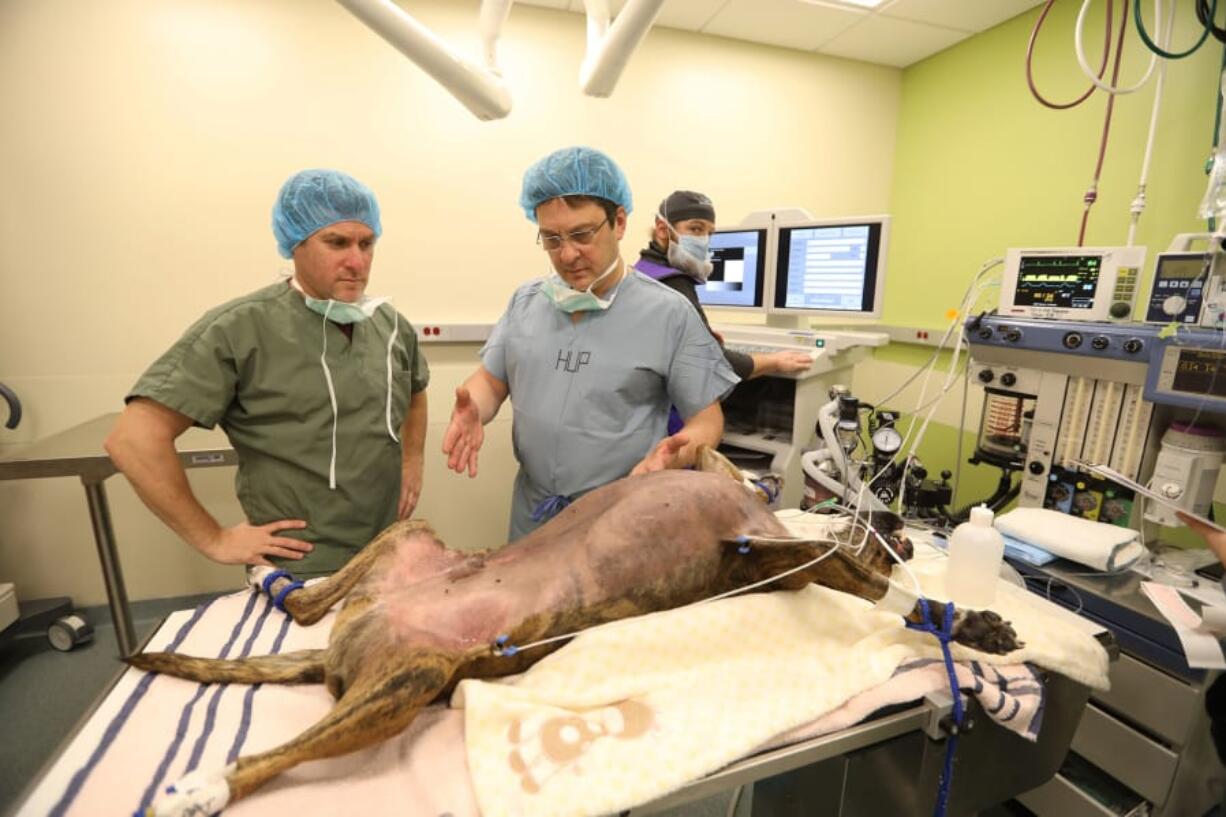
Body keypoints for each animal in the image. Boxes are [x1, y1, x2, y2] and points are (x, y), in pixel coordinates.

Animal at [129, 446, 1020, 814]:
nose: (905, 525)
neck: (777, 524)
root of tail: (342, 651)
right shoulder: (769, 535)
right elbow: (876, 586)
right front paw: (959, 611)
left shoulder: (784, 561)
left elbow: (883, 595)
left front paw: (967, 619)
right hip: (406, 570)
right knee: (301, 624)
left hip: (410, 675)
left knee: (280, 705)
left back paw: (209, 776)